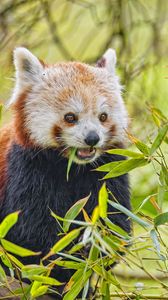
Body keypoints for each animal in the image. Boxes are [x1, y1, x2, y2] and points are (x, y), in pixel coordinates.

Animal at [0, 48, 131, 296]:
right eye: (70, 117)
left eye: (103, 116)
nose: (92, 138)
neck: (72, 168)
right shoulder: (27, 169)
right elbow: (31, 237)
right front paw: (63, 268)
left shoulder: (109, 170)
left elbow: (114, 227)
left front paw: (88, 254)